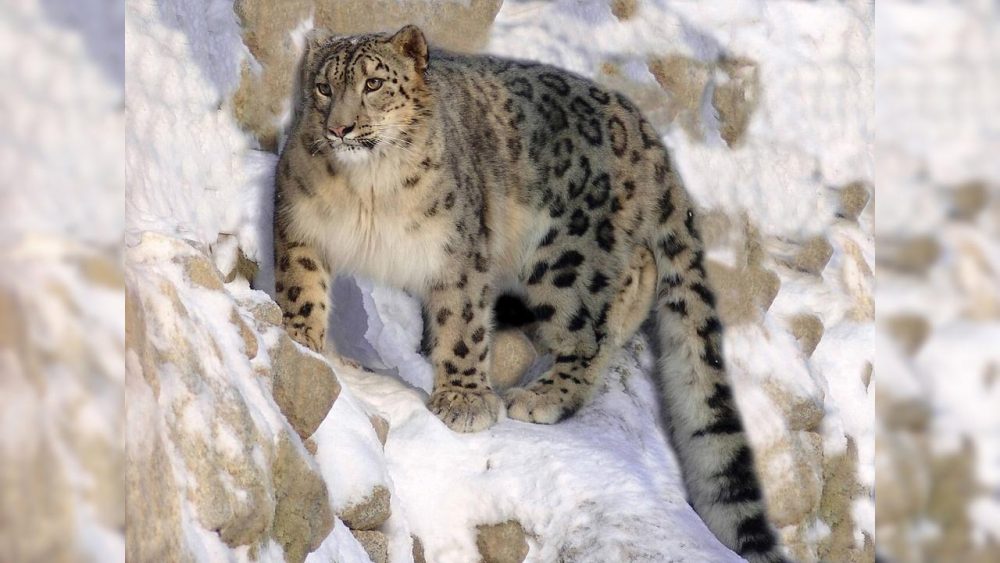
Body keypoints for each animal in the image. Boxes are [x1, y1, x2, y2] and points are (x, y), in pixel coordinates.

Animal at [272, 25, 787, 562]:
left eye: (373, 83)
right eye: (324, 87)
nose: (340, 129)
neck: (368, 191)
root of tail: (645, 131)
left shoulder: (459, 251)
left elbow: (462, 325)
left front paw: (464, 400)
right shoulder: (300, 222)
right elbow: (301, 285)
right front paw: (301, 338)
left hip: (568, 258)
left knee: (593, 323)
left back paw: (543, 395)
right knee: (638, 275)